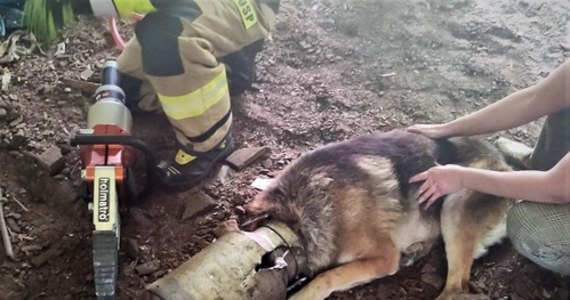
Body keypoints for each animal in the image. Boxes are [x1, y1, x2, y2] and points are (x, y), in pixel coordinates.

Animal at [244, 129, 516, 300]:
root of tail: (507, 165)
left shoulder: (384, 257)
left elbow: (328, 277)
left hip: (454, 204)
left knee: (456, 288)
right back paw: (414, 251)